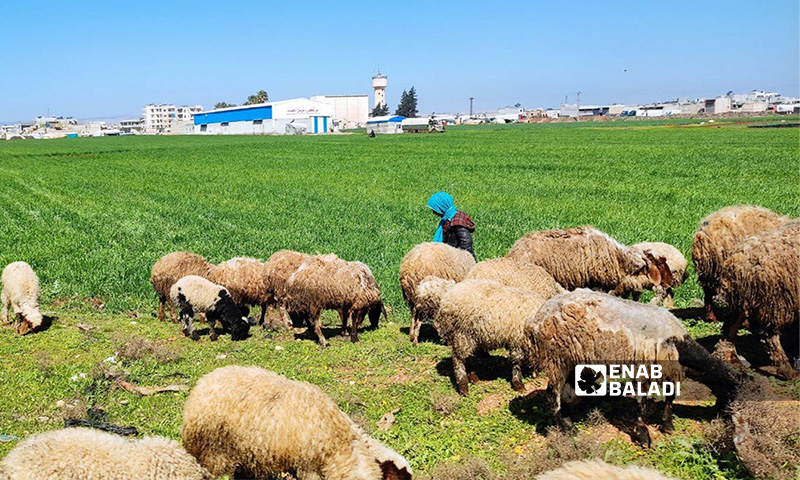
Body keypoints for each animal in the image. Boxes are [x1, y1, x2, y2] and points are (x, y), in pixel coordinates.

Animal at [532, 288, 744, 446]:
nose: (725, 424)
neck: (678, 343)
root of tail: (536, 317)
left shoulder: (670, 369)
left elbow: (670, 397)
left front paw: (667, 424)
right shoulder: (644, 368)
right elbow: (641, 403)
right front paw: (643, 435)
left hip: (572, 360)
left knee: (566, 392)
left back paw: (569, 419)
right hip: (556, 357)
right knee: (553, 394)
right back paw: (564, 429)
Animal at [720, 220, 800, 378]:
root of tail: (739, 262)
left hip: (743, 301)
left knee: (729, 328)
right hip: (775, 303)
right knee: (770, 337)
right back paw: (786, 369)